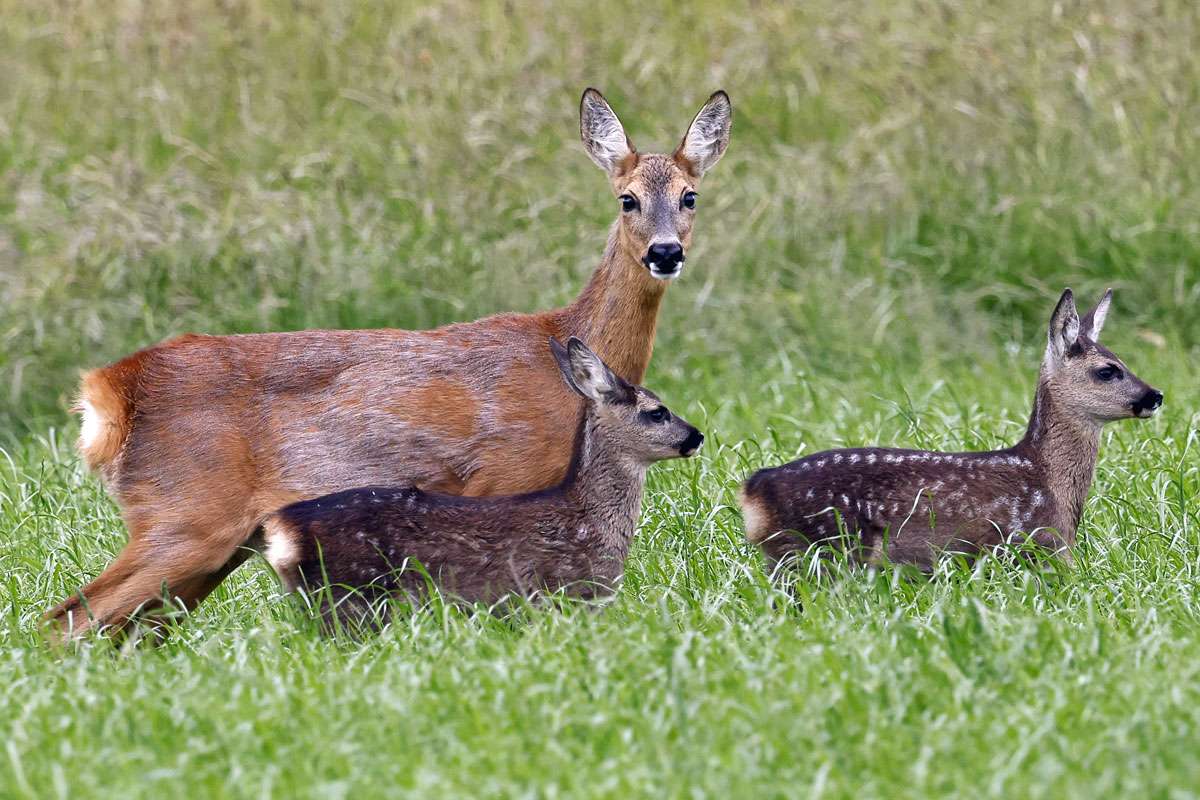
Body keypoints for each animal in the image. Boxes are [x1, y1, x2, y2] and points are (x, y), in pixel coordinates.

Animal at [253, 335, 700, 628]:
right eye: (657, 412)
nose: (696, 436)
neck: (587, 521)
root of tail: (281, 532)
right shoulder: (569, 592)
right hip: (354, 592)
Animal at [739, 291, 1161, 573]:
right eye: (1107, 370)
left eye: (1123, 361)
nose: (1155, 396)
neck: (1048, 482)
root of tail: (754, 489)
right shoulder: (1033, 548)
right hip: (823, 548)